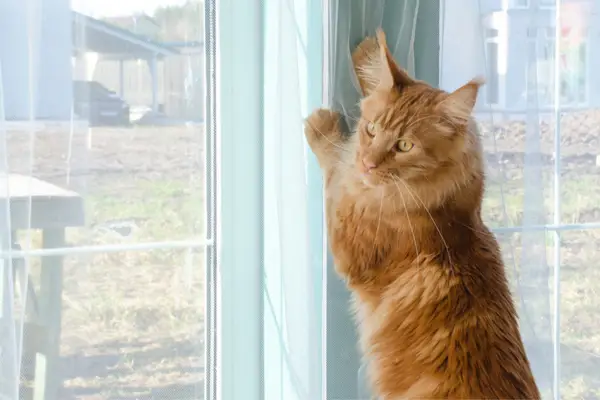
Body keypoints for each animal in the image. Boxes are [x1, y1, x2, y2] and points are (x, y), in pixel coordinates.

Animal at [308, 29, 540, 398]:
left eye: (404, 146)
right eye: (372, 129)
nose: (369, 163)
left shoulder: (351, 236)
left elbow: (338, 166)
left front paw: (323, 128)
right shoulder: (472, 161)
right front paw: (369, 55)